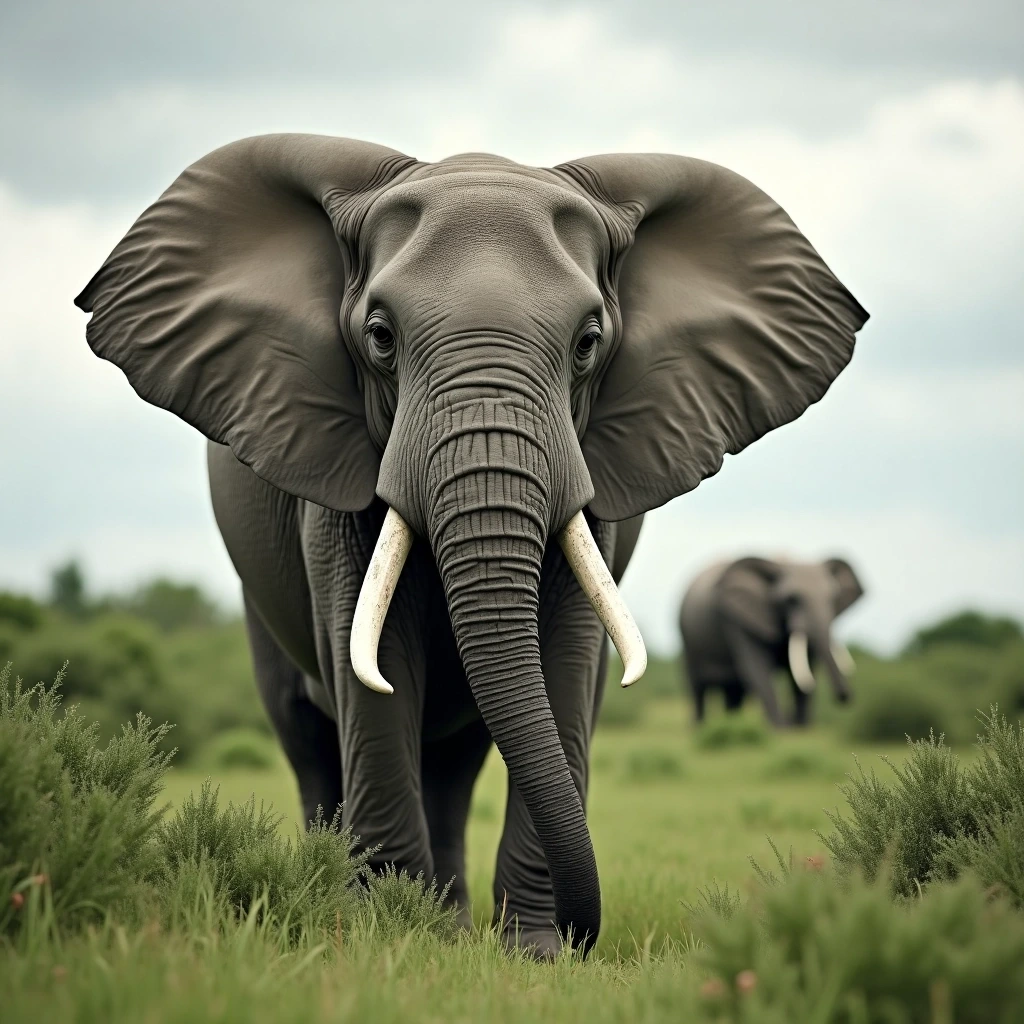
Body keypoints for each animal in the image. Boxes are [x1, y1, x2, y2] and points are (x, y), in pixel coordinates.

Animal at [679, 556, 866, 727]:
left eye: (833, 598)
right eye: (791, 599)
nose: (845, 698)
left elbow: (804, 669)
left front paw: (802, 728)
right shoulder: (737, 620)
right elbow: (757, 668)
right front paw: (781, 729)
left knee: (734, 691)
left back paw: (732, 722)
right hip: (686, 635)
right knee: (698, 688)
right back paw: (699, 727)